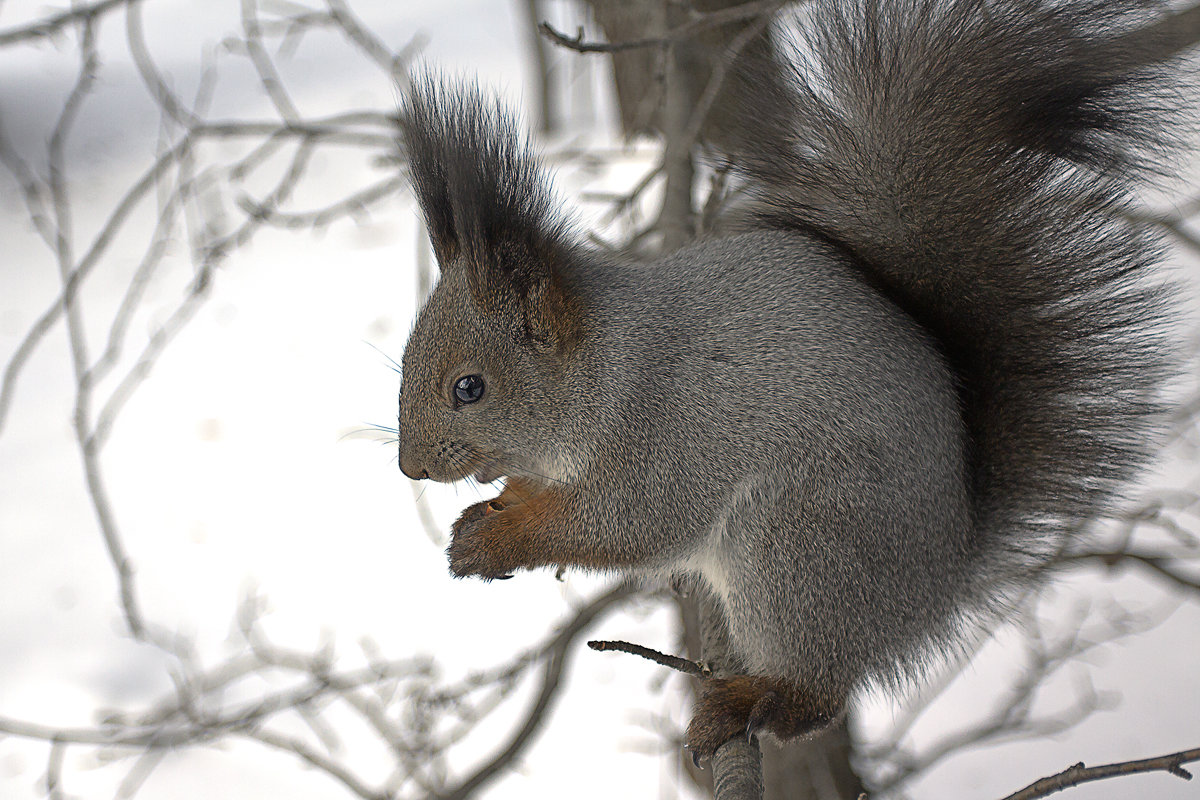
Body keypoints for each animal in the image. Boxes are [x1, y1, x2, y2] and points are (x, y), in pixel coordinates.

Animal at [393, 0, 1180, 762]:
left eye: (470, 388)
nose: (410, 468)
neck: (603, 367)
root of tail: (939, 580)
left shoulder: (663, 438)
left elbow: (620, 524)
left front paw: (503, 540)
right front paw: (492, 510)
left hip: (797, 542)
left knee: (818, 692)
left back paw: (752, 701)